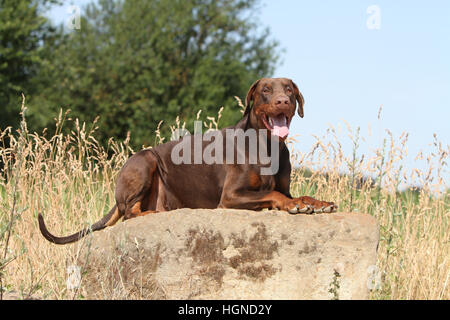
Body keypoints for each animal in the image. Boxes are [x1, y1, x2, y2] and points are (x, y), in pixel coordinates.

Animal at [38, 78, 336, 245]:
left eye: (289, 89)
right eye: (265, 90)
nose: (283, 101)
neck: (267, 146)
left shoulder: (283, 185)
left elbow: (297, 193)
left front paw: (318, 203)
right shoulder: (230, 197)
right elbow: (274, 194)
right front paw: (293, 205)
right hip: (145, 161)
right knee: (129, 212)